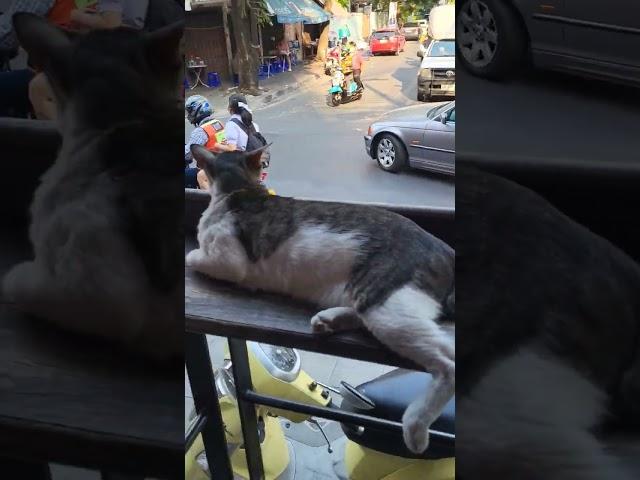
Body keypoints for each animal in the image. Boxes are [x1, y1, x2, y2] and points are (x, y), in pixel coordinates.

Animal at [188, 143, 458, 454]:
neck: (239, 189)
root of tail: (446, 250)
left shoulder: (229, 263)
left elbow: (191, 256)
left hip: (387, 307)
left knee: (448, 363)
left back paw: (415, 426)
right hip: (370, 300)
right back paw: (328, 320)